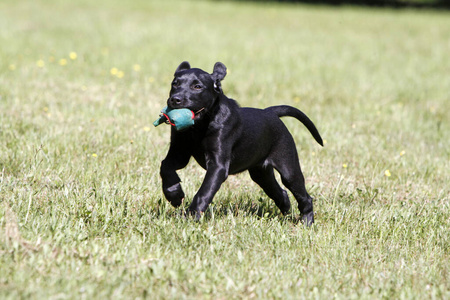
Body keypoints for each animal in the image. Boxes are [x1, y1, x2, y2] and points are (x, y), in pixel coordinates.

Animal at [158, 61, 324, 225]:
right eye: (175, 84)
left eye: (197, 86)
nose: (175, 99)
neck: (198, 127)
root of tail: (270, 112)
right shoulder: (179, 153)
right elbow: (165, 166)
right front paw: (174, 194)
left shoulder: (218, 165)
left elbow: (204, 191)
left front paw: (192, 216)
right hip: (260, 172)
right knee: (279, 191)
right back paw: (286, 206)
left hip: (288, 168)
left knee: (304, 196)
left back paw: (307, 221)